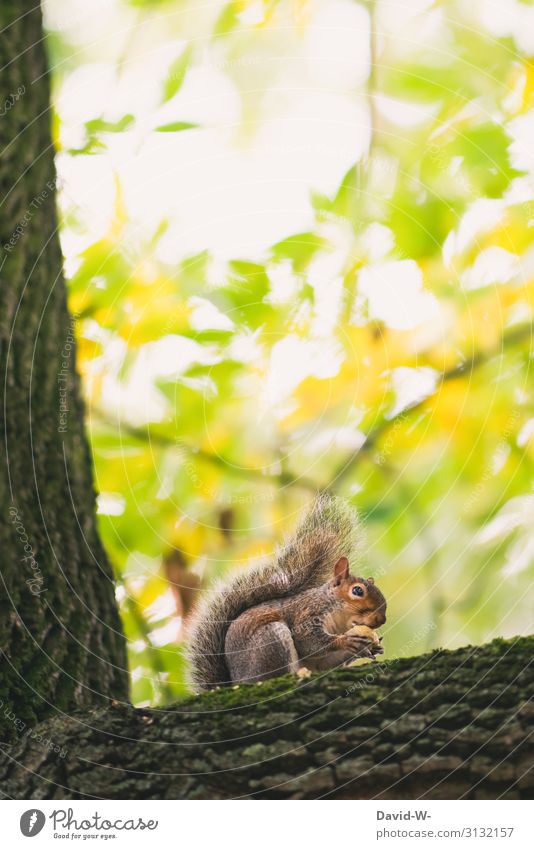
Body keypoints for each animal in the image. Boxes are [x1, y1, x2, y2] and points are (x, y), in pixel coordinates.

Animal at [186, 494, 388, 684]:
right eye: (357, 591)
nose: (381, 619)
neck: (338, 619)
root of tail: (238, 681)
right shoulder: (306, 613)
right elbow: (308, 642)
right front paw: (346, 641)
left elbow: (325, 663)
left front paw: (369, 648)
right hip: (271, 639)